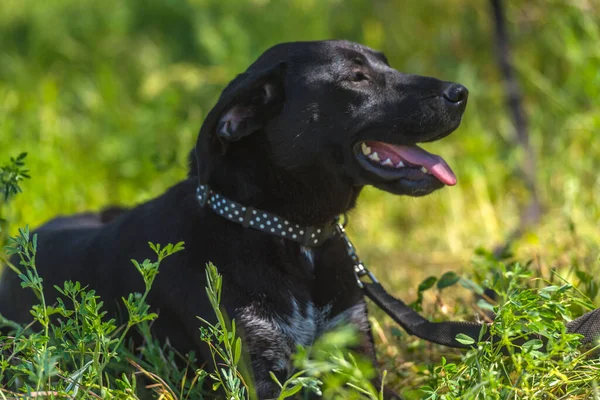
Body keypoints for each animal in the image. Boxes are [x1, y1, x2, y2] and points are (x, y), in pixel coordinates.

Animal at [0, 39, 466, 396]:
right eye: (357, 78)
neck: (289, 235)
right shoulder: (255, 372)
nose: (460, 93)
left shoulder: (357, 361)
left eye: (386, 63)